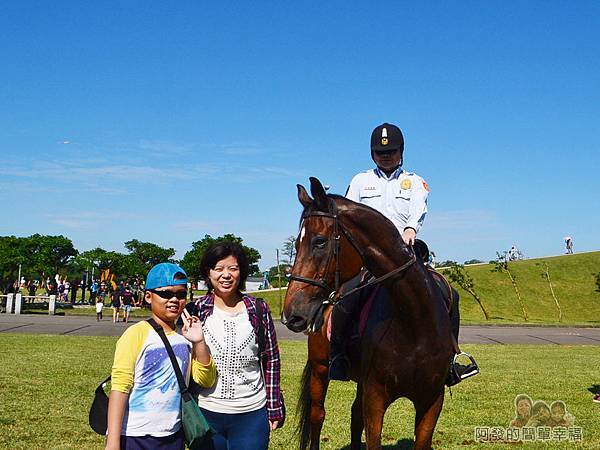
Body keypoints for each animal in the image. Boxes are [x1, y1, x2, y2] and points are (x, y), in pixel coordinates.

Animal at [284, 178, 452, 448]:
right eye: (297, 244)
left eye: (320, 241)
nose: (292, 314)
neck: (414, 321)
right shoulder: (376, 399)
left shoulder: (431, 400)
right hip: (321, 369)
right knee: (317, 415)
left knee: (354, 415)